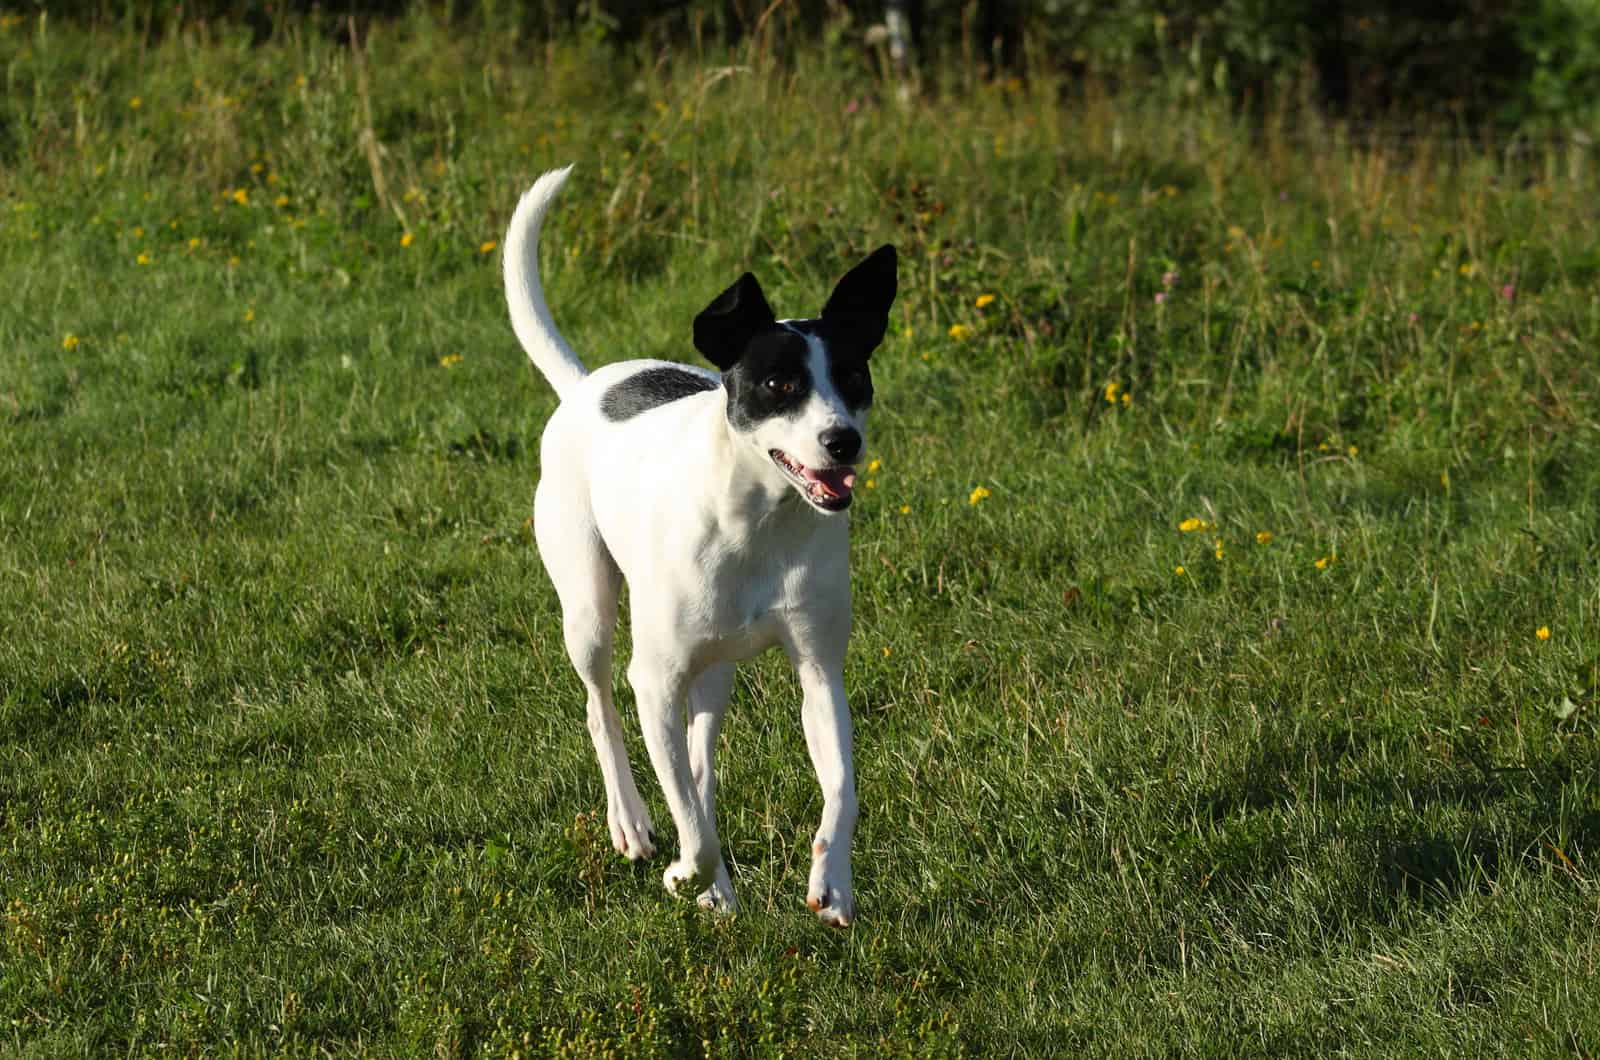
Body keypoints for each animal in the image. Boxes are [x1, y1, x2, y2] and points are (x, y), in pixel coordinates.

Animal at [502, 161, 896, 928]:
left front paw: (832, 881)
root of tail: (585, 386)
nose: (843, 441)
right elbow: (691, 820)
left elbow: (841, 790)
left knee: (698, 754)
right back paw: (632, 823)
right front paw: (690, 872)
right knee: (602, 709)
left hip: (716, 668)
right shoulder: (653, 680)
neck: (757, 523)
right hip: (588, 609)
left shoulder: (819, 670)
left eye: (854, 379)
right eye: (780, 384)